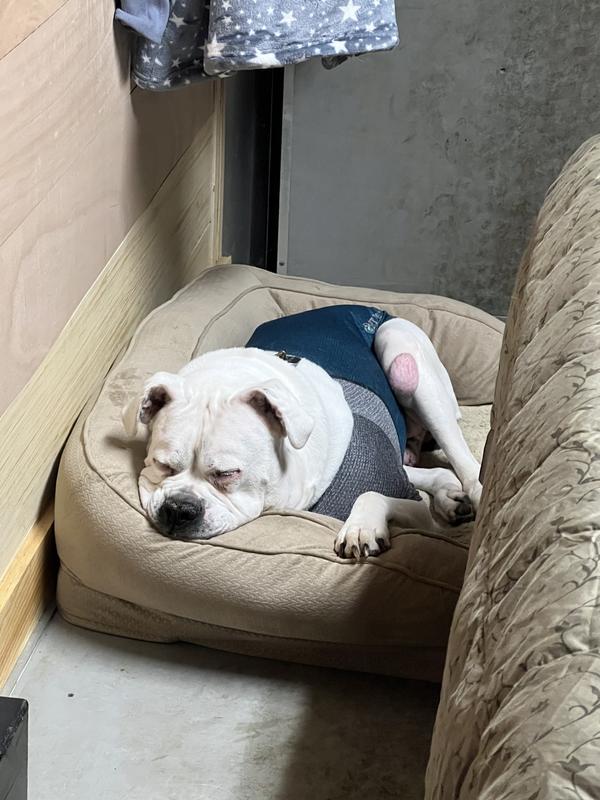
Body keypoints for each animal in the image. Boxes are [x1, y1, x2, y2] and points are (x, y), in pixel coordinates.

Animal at [122, 305, 482, 559]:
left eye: (227, 473)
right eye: (161, 465)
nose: (179, 509)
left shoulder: (420, 517)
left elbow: (373, 494)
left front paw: (361, 527)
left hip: (399, 348)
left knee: (462, 457)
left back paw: (476, 491)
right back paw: (450, 496)